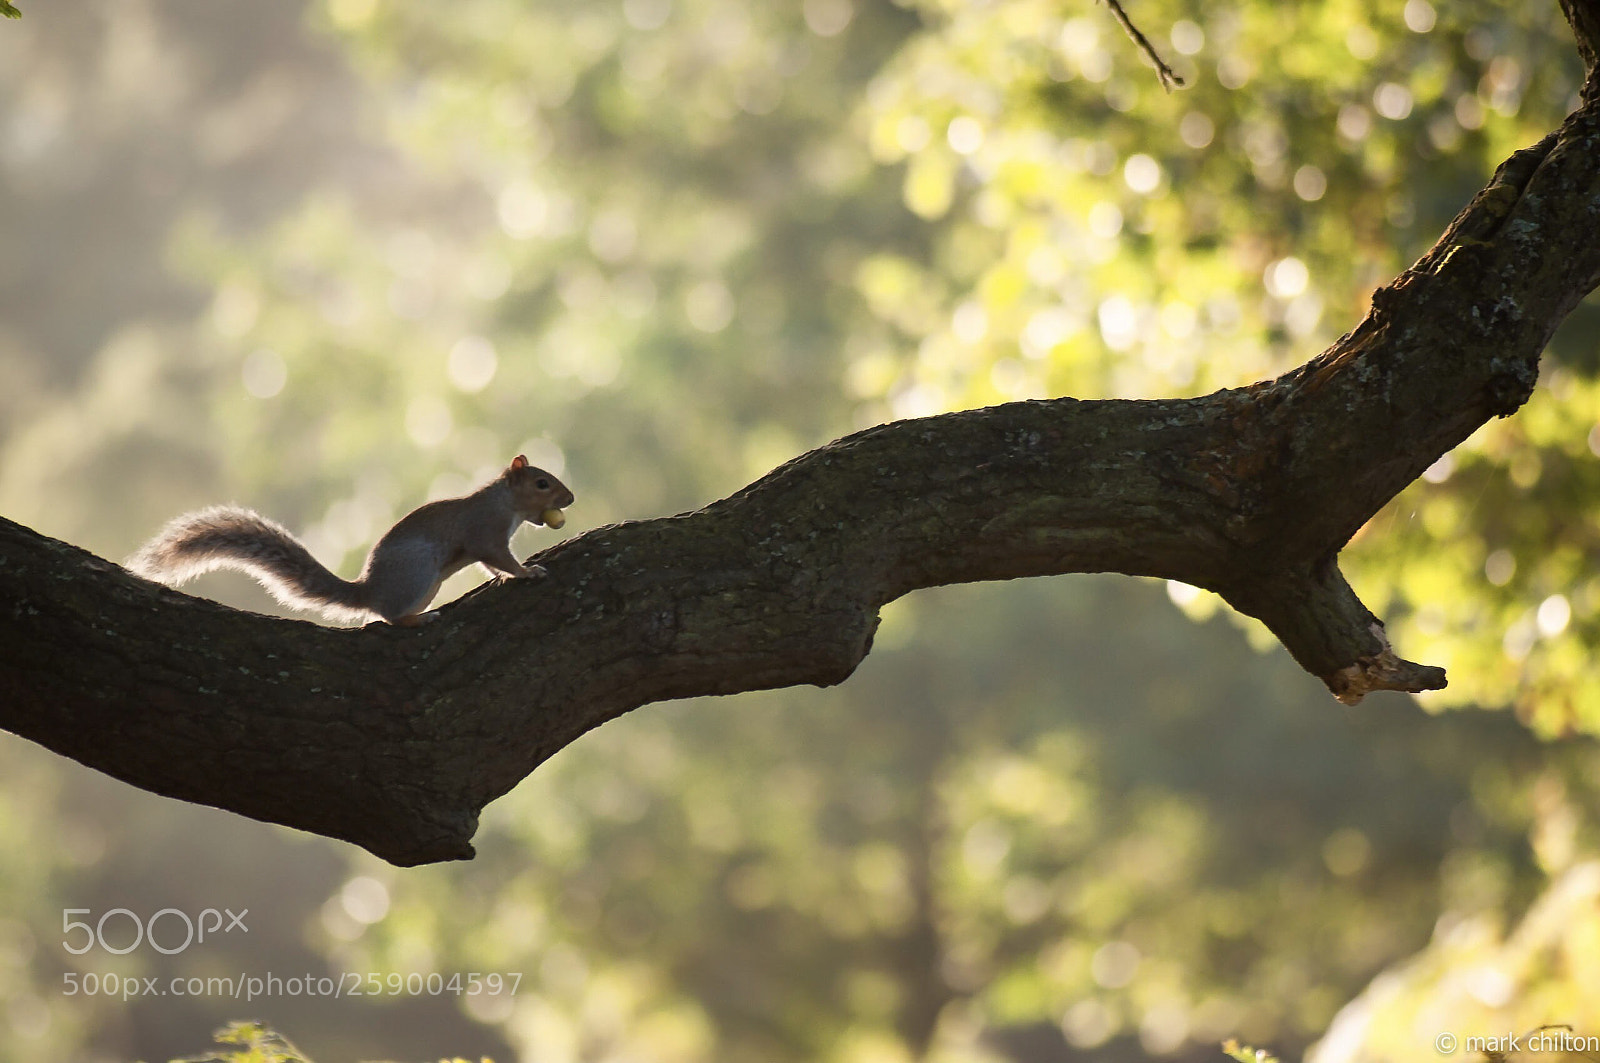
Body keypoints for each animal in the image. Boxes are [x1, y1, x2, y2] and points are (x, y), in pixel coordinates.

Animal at [127, 455, 574, 626]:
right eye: (542, 483)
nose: (569, 499)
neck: (506, 504)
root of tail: (369, 591)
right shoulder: (486, 530)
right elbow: (498, 556)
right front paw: (527, 573)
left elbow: (489, 565)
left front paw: (504, 577)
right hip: (418, 575)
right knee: (389, 619)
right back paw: (419, 618)